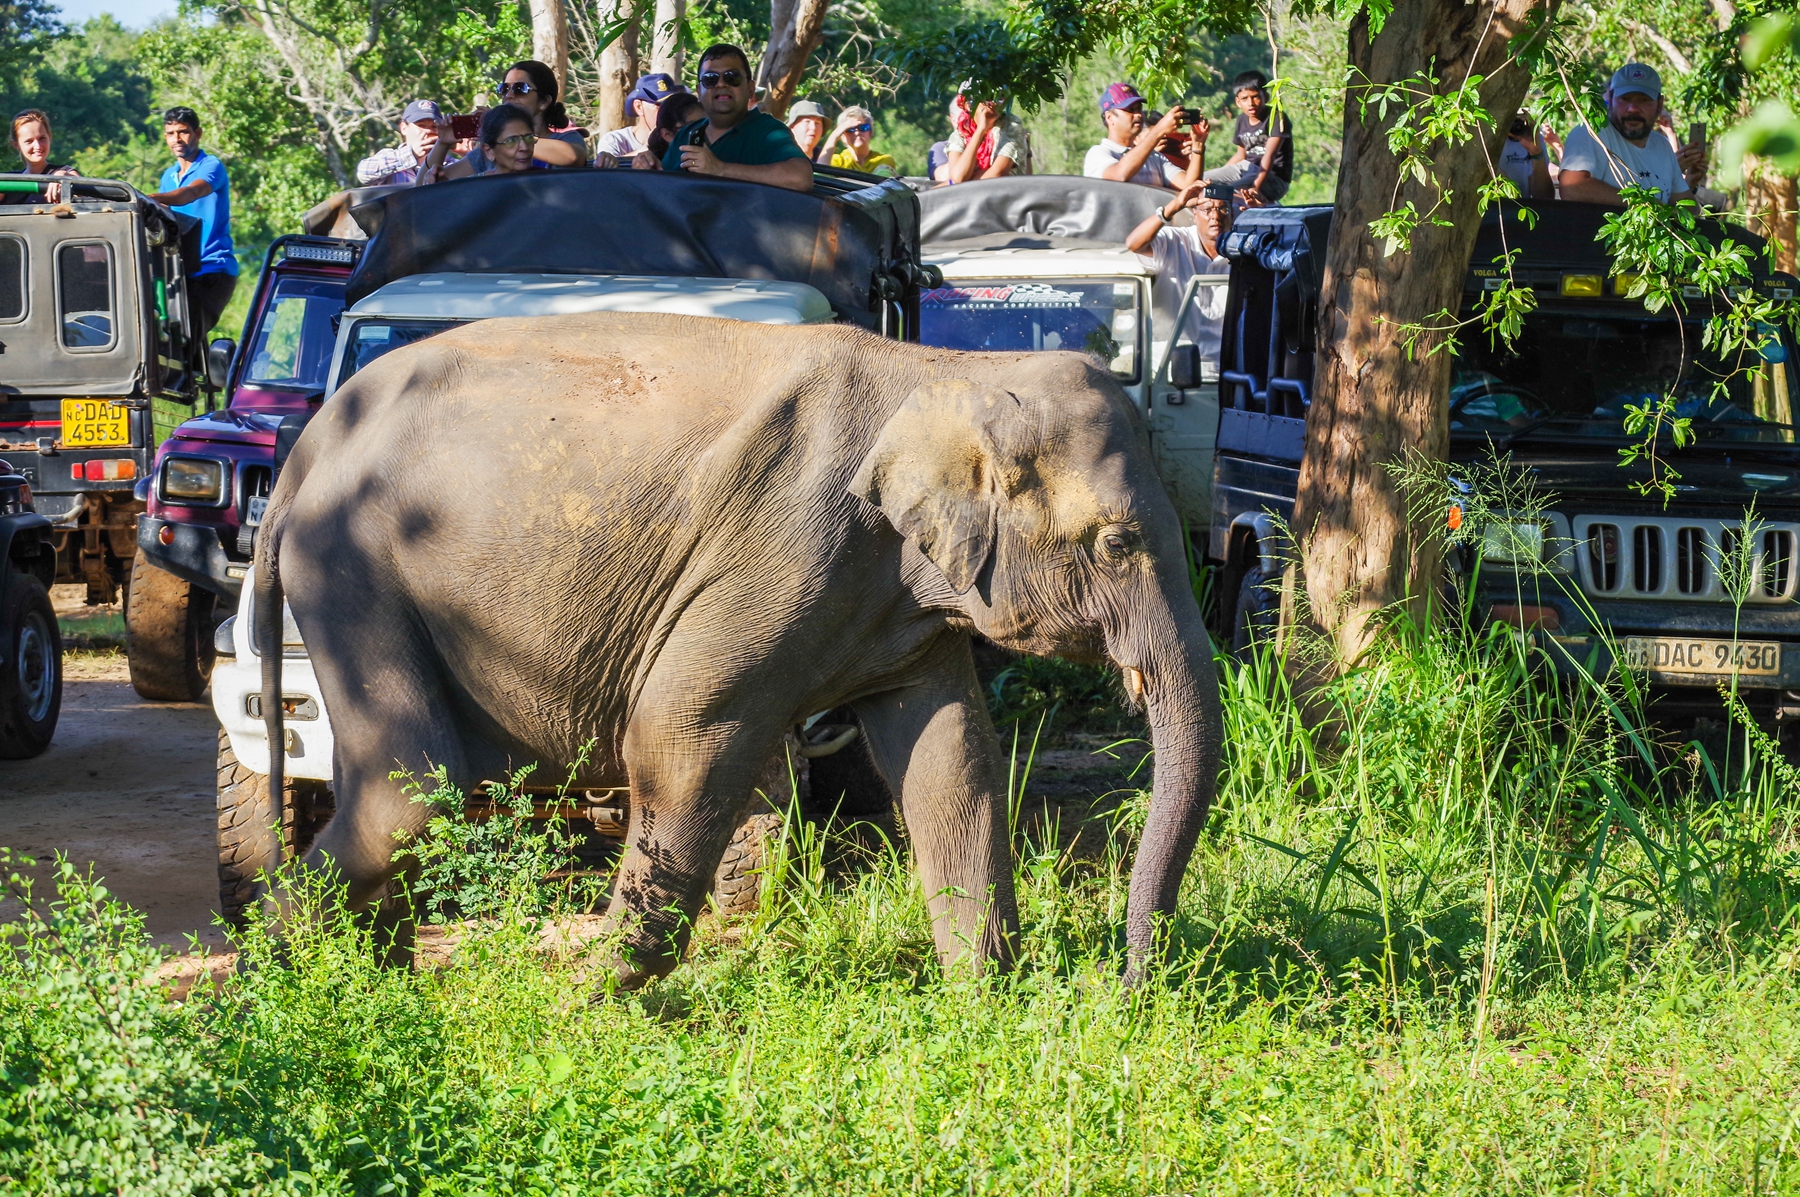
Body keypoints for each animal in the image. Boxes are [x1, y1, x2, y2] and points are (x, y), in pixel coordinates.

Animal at [261, 309, 1224, 986]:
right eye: (1117, 542)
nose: (1126, 984)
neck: (944, 372)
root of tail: (303, 453)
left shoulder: (902, 599)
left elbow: (953, 761)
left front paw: (989, 1003)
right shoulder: (780, 545)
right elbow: (678, 731)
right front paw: (589, 1002)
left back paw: (377, 990)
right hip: (353, 568)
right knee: (410, 790)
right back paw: (274, 984)